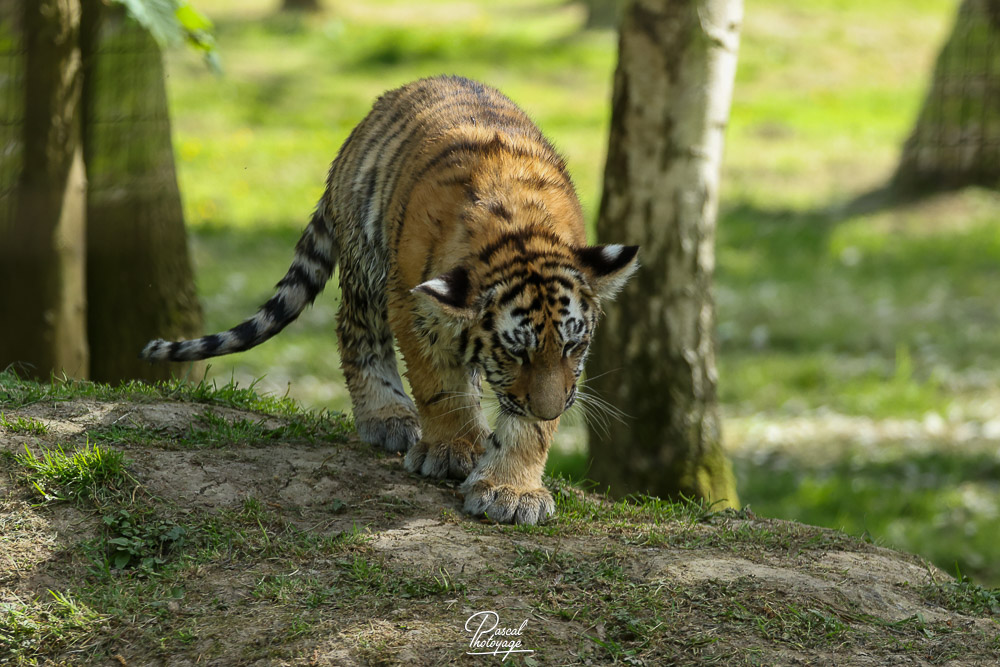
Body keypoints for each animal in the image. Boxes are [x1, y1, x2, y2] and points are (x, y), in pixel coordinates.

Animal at [141, 75, 638, 525]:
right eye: (515, 353)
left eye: (572, 346)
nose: (554, 408)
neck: (518, 230)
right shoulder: (414, 306)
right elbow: (440, 387)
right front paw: (453, 449)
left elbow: (527, 427)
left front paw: (510, 489)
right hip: (367, 261)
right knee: (355, 332)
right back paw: (387, 417)